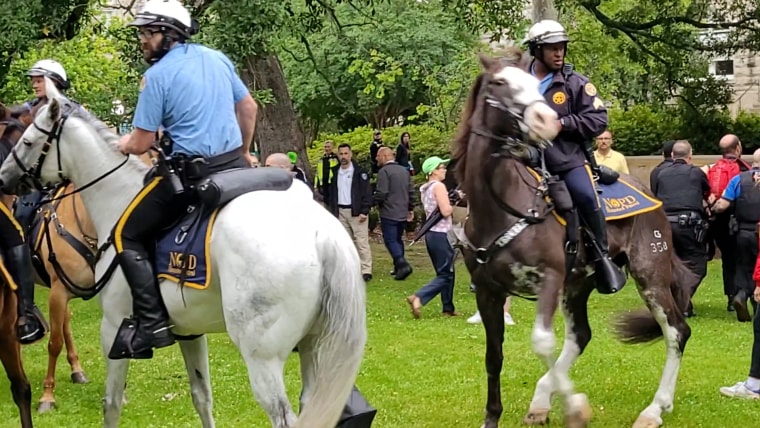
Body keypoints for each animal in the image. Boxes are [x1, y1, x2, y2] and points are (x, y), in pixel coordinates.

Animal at [450, 49, 697, 428]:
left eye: (531, 82)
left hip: (650, 275)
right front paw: (492, 418)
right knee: (581, 335)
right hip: (579, 283)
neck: (503, 204)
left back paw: (655, 408)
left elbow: (541, 342)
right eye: (500, 82)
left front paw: (576, 407)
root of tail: (647, 192)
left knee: (676, 331)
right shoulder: (489, 292)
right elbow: (494, 356)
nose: (543, 119)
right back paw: (541, 400)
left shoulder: (550, 279)